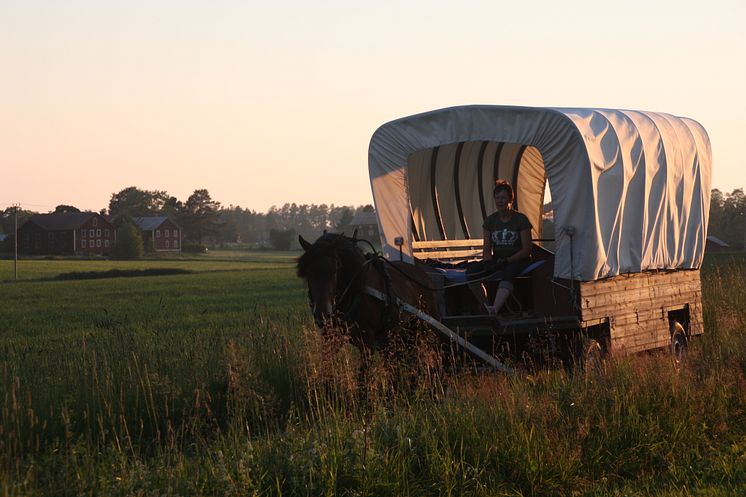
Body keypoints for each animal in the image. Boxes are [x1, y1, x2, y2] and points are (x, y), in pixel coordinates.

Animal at [294, 232, 438, 348]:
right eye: (307, 272)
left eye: (335, 269)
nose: (322, 314)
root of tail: (425, 275)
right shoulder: (329, 336)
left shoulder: (366, 341)